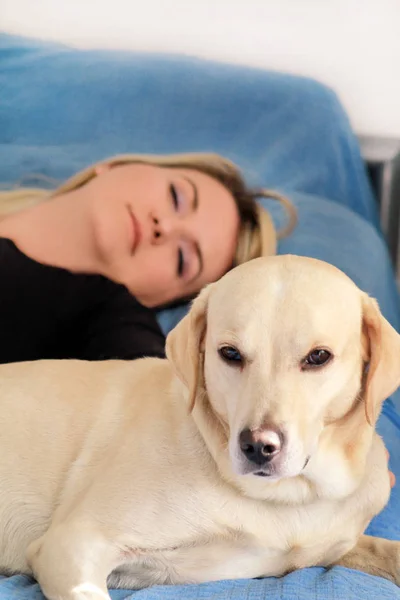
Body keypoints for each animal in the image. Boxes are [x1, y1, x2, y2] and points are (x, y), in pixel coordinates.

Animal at [0, 254, 400, 600]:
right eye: (230, 354)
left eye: (318, 357)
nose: (257, 446)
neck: (288, 498)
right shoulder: (72, 545)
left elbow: (385, 550)